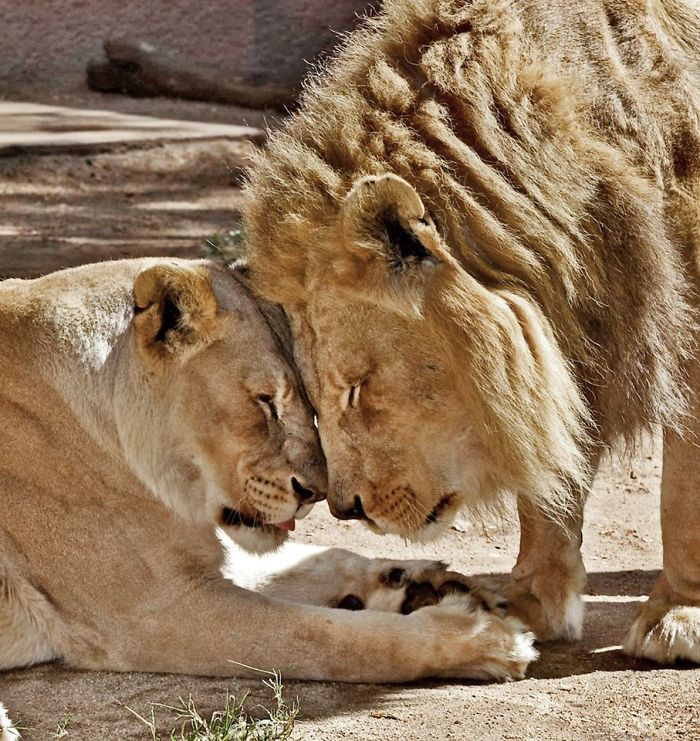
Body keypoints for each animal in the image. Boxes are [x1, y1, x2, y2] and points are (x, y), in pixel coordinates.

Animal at [0, 256, 536, 705]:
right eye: (265, 401)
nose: (316, 494)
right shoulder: (154, 613)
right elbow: (332, 638)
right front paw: (486, 640)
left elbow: (322, 557)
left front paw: (424, 582)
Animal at [244, 0, 700, 664]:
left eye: (356, 389)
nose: (345, 509)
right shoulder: (559, 332)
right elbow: (547, 476)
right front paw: (525, 604)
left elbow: (684, 495)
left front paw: (679, 617)